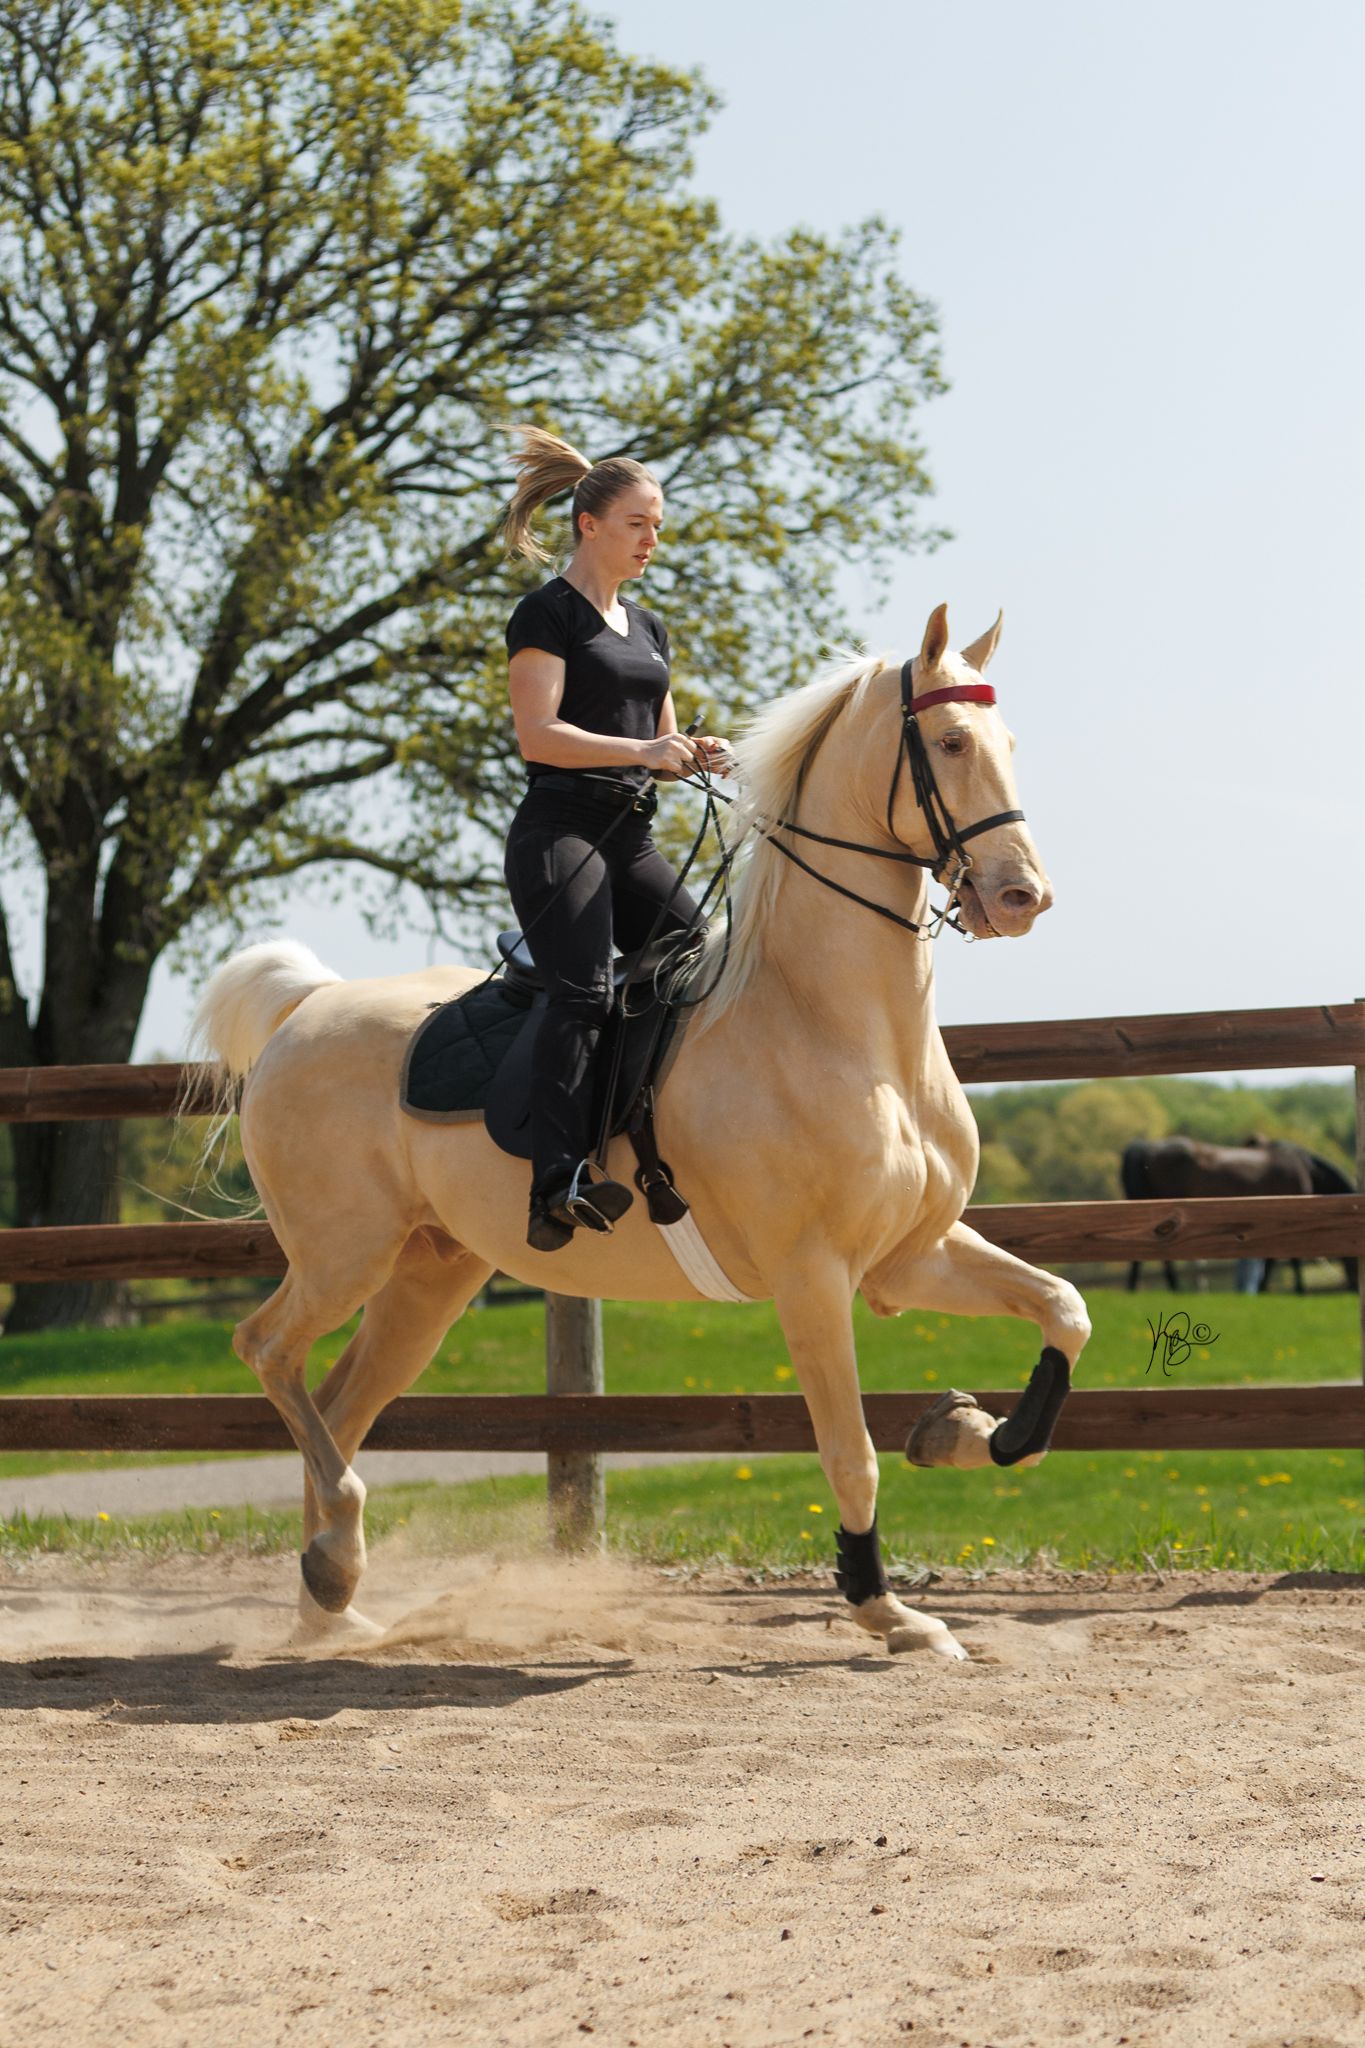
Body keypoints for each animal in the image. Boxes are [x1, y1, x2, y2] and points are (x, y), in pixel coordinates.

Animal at [191, 604, 1091, 1664]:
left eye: (1009, 744)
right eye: (950, 742)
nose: (1019, 898)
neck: (838, 1026)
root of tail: (310, 1006)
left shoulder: (908, 1259)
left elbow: (1064, 1309)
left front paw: (961, 1430)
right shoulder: (813, 1275)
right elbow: (850, 1453)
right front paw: (889, 1613)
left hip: (428, 1275)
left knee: (336, 1401)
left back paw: (328, 1599)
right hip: (344, 1257)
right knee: (266, 1351)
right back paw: (335, 1560)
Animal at [1122, 1137, 1358, 1292]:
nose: (1355, 1287)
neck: (1306, 1169)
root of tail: (1148, 1146)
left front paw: (1264, 1288)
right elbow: (1290, 1260)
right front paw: (1297, 1289)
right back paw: (1170, 1289)